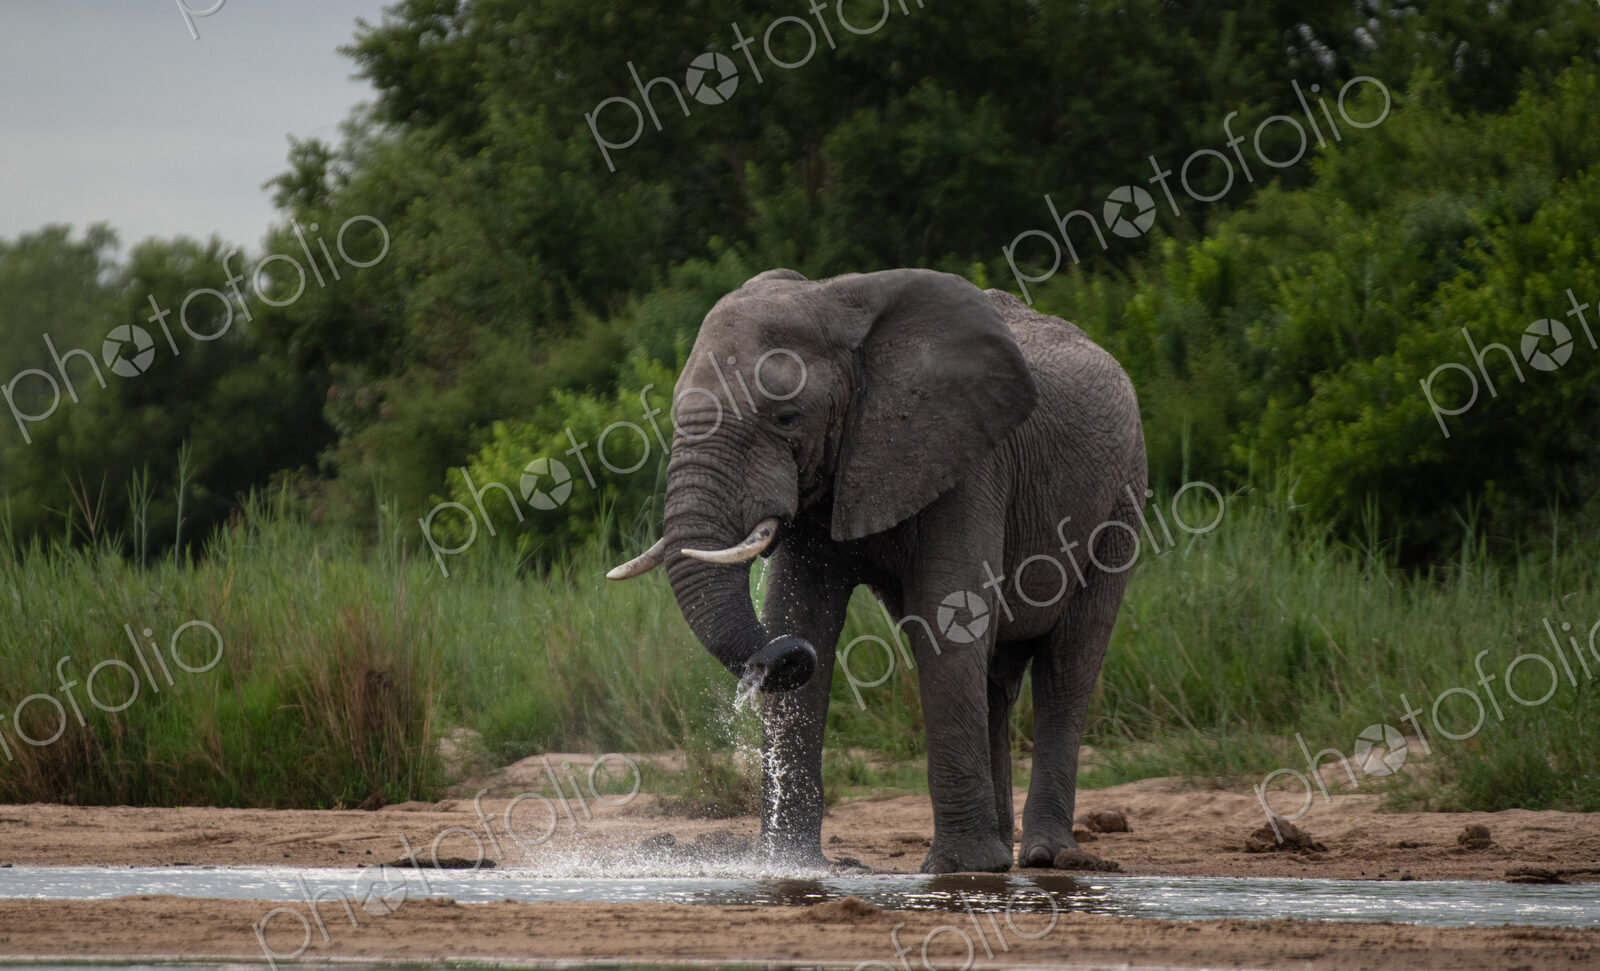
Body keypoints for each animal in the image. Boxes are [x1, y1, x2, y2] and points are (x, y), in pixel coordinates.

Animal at [607, 267, 1146, 874]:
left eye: (787, 418)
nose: (776, 658)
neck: (836, 301)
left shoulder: (968, 458)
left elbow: (948, 619)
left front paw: (956, 870)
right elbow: (802, 615)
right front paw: (792, 868)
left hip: (1122, 495)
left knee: (1067, 665)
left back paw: (1043, 858)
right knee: (995, 678)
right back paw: (1002, 857)